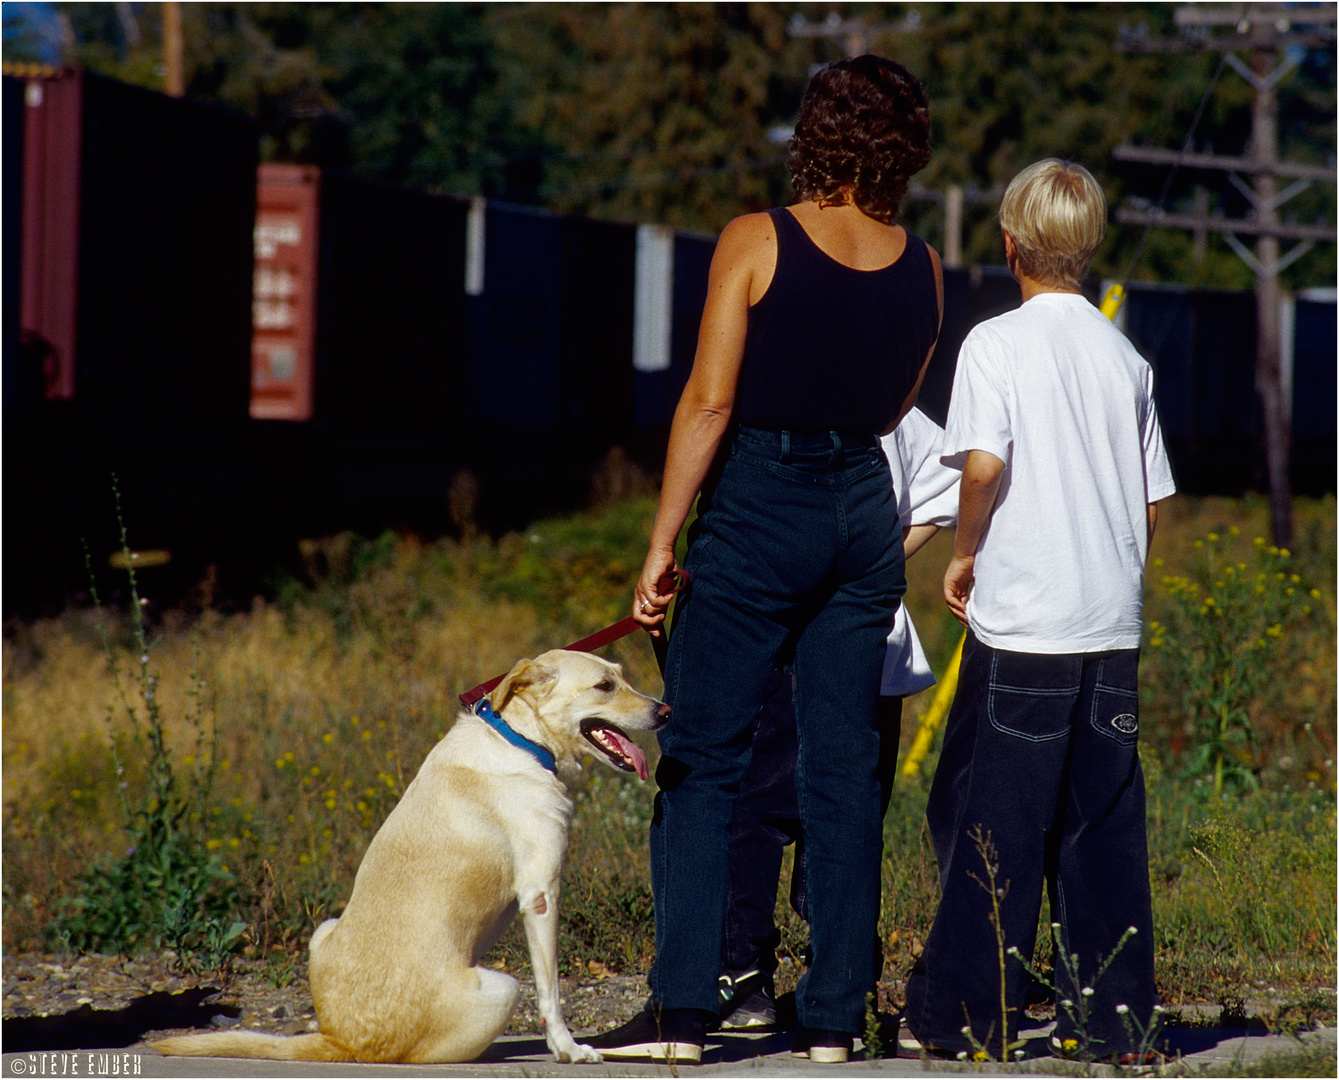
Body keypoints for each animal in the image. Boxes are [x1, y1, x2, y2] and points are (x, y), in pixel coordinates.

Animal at [153, 650, 666, 1065]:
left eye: (622, 675)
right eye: (605, 685)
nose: (666, 710)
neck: (519, 740)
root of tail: (342, 1043)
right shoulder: (542, 896)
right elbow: (551, 993)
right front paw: (569, 1049)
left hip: (324, 930)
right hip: (504, 986)